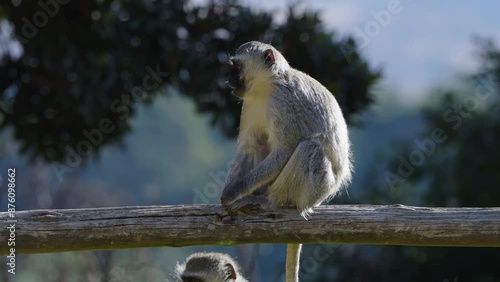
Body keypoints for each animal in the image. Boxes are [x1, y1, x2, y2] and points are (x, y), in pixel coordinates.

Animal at [223, 41, 352, 282]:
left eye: (237, 68)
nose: (229, 80)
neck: (267, 87)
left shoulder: (283, 103)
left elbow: (285, 150)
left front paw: (233, 194)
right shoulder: (249, 103)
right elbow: (249, 148)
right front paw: (228, 192)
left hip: (315, 190)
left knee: (310, 148)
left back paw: (269, 201)